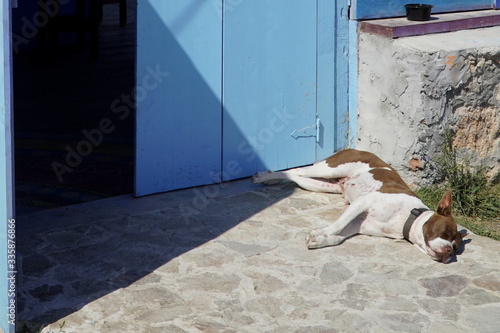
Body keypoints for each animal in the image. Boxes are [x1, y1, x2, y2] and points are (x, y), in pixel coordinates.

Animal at [252, 148, 466, 262]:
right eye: (446, 232)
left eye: (455, 247)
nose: (449, 252)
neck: (408, 217)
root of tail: (356, 147)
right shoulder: (363, 202)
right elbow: (337, 225)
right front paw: (320, 232)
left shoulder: (358, 225)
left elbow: (338, 238)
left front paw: (319, 240)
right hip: (330, 168)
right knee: (296, 170)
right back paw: (263, 176)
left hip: (322, 184)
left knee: (295, 177)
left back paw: (269, 179)